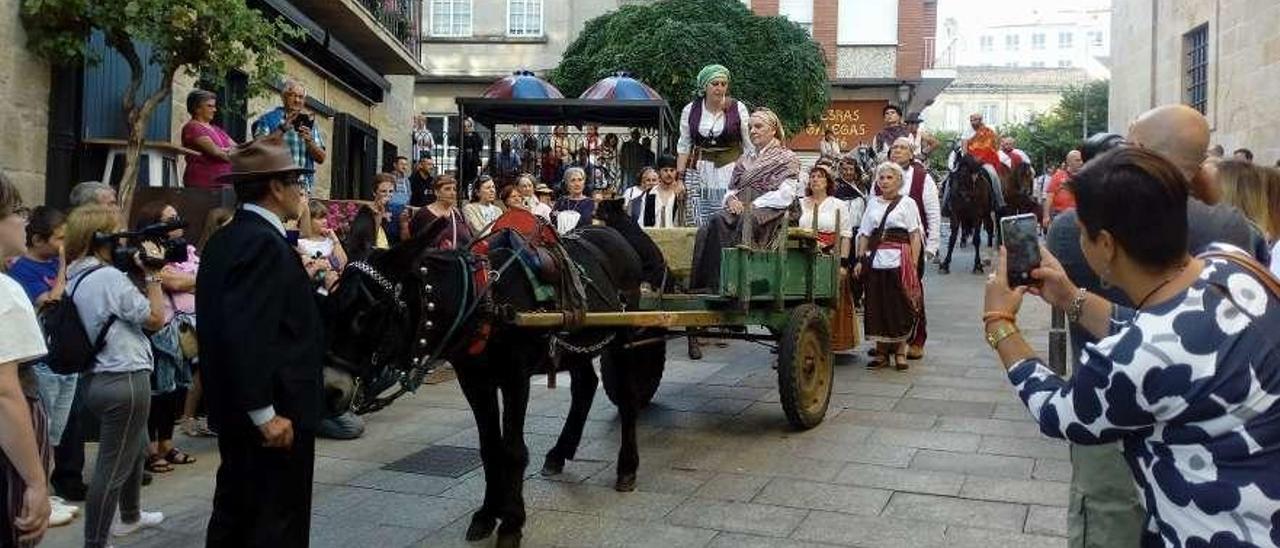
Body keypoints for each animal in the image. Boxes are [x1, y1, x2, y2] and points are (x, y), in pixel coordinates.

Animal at [325, 218, 655, 548]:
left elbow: (513, 450)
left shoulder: (515, 379)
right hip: (577, 341)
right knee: (585, 386)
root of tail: (610, 231)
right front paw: (487, 514)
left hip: (622, 336)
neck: (483, 301)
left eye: (366, 313)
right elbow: (489, 448)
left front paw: (511, 523)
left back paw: (627, 467)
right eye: (331, 304)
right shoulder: (474, 381)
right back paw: (559, 453)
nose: (331, 389)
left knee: (627, 397)